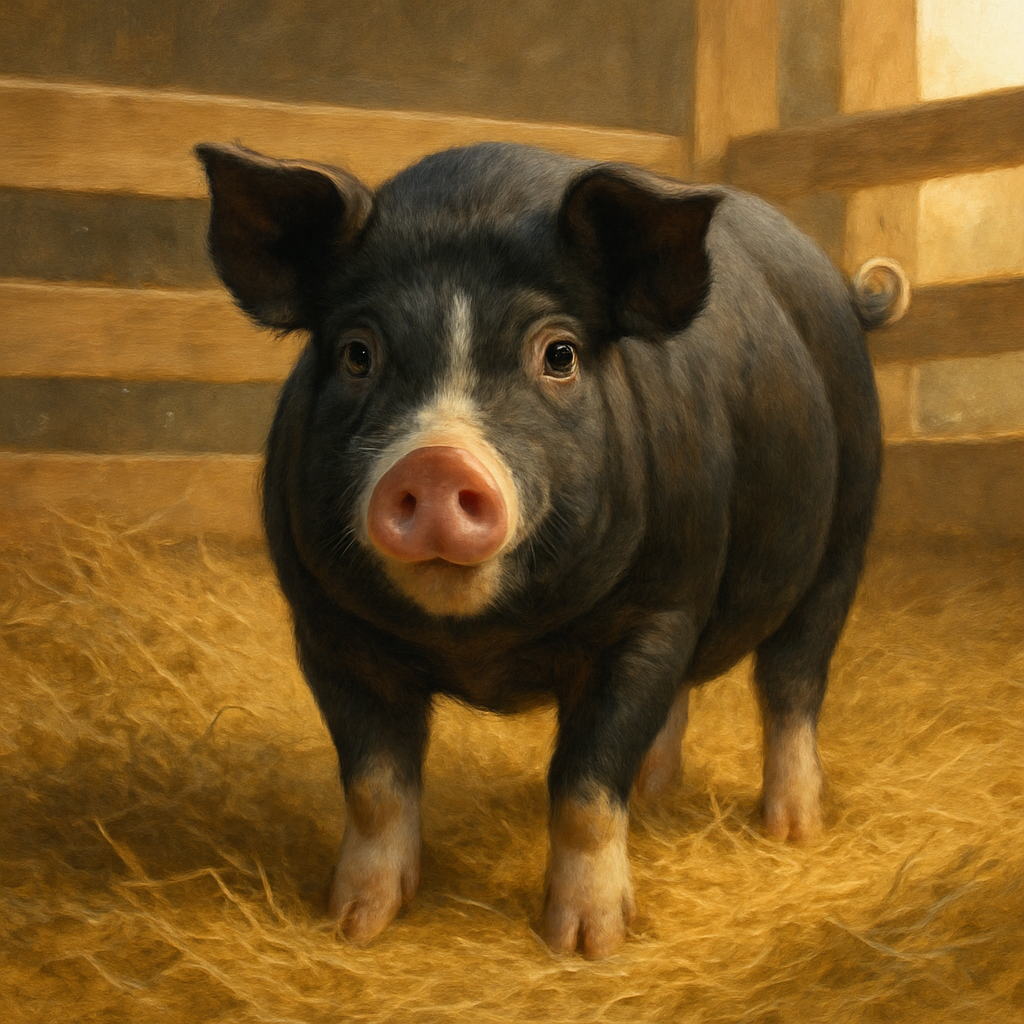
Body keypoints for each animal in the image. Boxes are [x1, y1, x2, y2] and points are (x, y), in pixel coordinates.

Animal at [196, 140, 909, 957]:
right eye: (356, 353)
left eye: (560, 354)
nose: (435, 464)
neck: (481, 644)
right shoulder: (326, 627)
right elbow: (375, 785)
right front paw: (353, 924)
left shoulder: (656, 612)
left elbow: (586, 785)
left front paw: (588, 945)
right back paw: (659, 794)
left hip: (845, 536)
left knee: (792, 683)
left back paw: (791, 830)